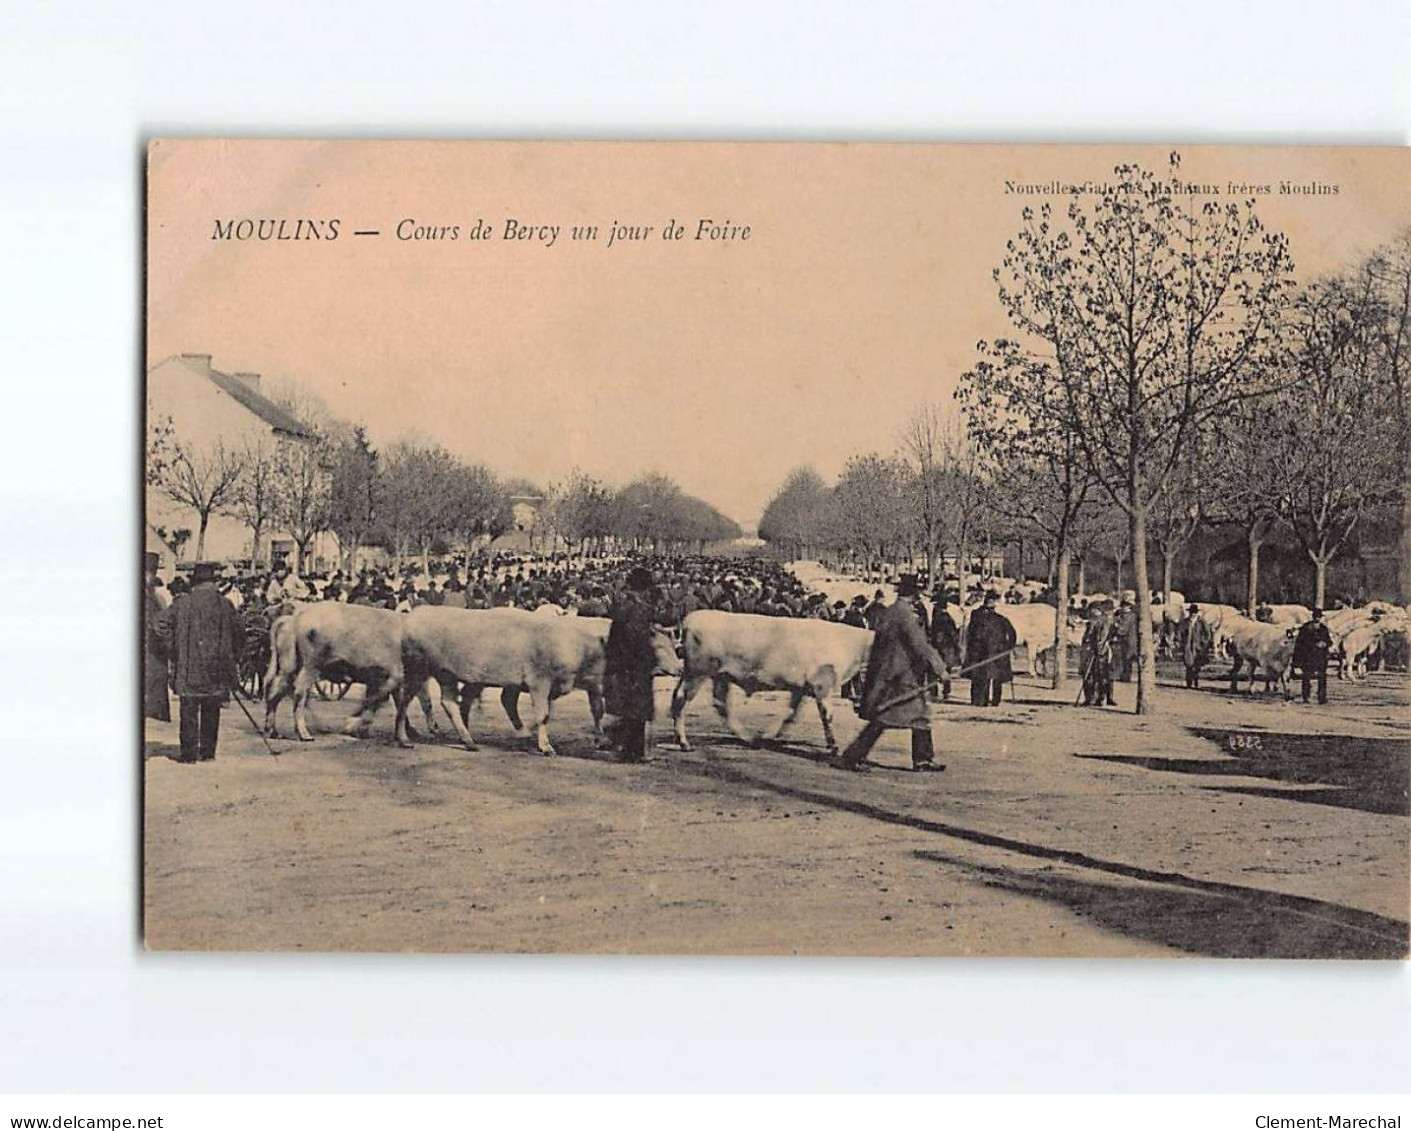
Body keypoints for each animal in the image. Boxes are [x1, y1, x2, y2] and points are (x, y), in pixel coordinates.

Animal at [671, 609, 869, 750]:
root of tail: (692, 618)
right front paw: (833, 745)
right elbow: (827, 715)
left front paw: (770, 736)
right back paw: (684, 742)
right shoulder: (822, 685)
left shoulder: (800, 689)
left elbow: (791, 715)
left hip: (720, 675)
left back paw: (749, 738)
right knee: (681, 699)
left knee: (721, 705)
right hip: (698, 671)